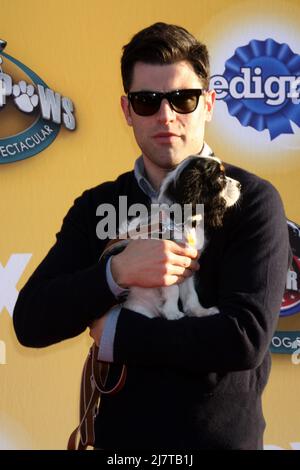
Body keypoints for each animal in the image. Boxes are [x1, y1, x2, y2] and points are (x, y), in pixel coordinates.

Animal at [106, 156, 240, 322]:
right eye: (220, 177)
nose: (240, 185)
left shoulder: (187, 265)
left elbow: (190, 293)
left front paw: (199, 311)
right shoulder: (166, 265)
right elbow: (173, 290)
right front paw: (172, 313)